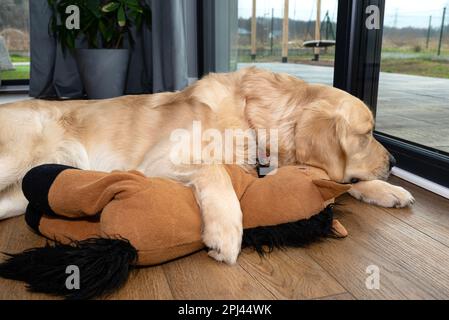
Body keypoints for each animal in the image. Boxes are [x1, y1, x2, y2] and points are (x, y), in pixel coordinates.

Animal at [0, 67, 412, 262]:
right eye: (366, 134)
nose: (395, 161)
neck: (251, 117)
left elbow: (347, 180)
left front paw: (388, 189)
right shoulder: (161, 159)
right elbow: (215, 171)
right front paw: (226, 232)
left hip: (18, 195)